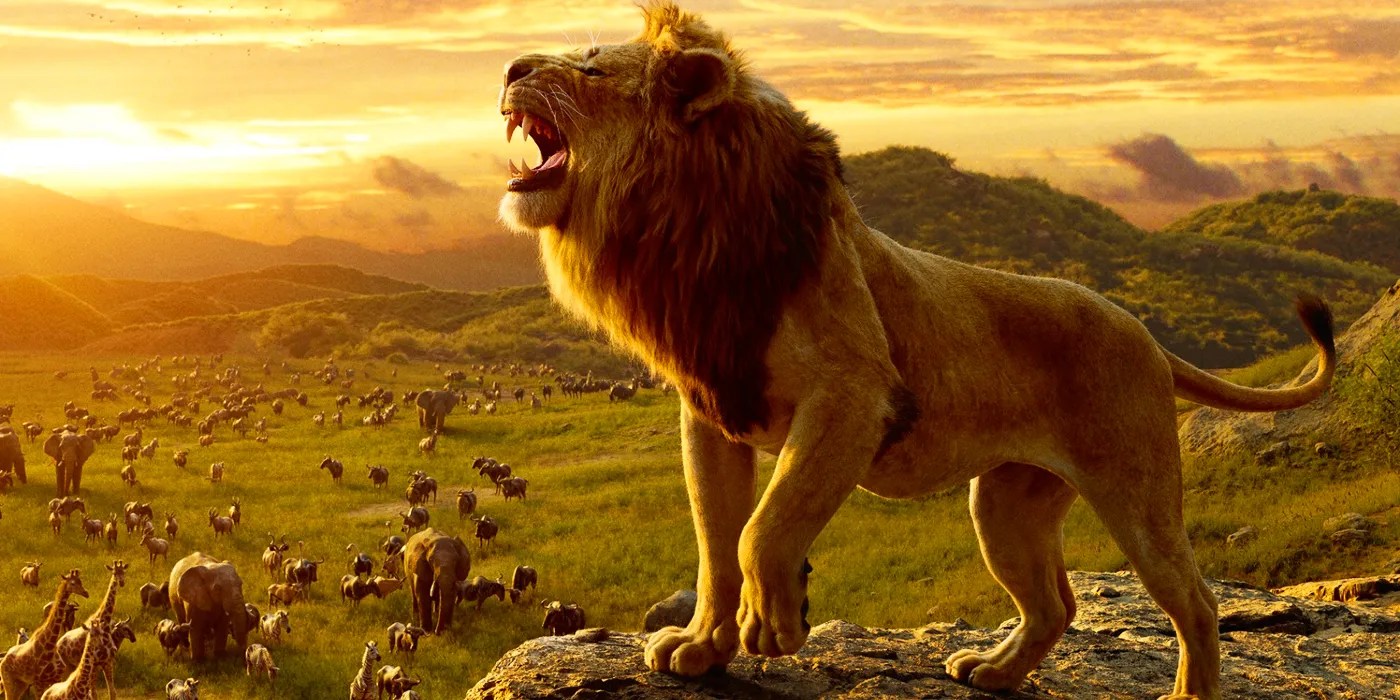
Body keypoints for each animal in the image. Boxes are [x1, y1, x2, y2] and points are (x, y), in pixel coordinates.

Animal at [495, 4, 1335, 699]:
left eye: (591, 68)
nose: (508, 68)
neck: (683, 234)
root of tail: (1148, 335)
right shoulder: (710, 410)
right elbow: (716, 542)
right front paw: (702, 648)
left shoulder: (855, 394)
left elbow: (766, 526)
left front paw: (777, 624)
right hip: (1005, 504)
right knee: (1055, 604)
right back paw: (994, 671)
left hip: (1138, 492)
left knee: (1195, 599)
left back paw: (1185, 691)